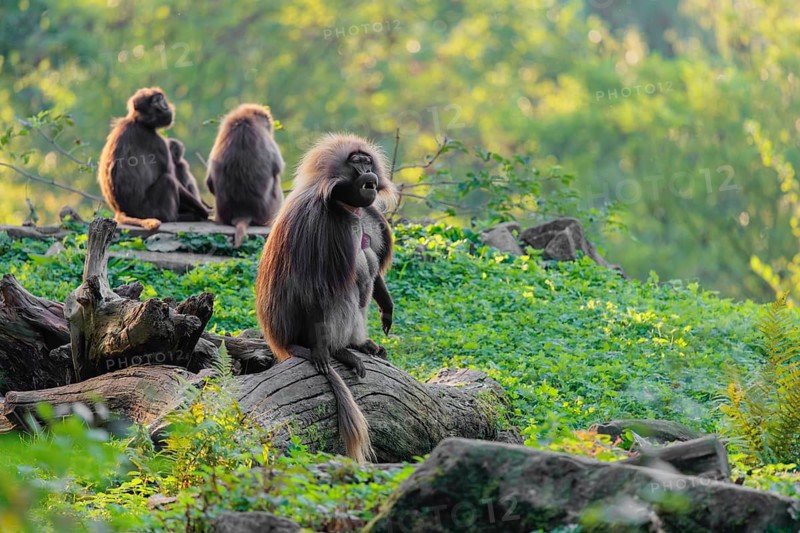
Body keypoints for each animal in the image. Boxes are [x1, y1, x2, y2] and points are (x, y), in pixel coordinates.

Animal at [98, 87, 210, 230]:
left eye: (161, 99)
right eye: (157, 101)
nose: (166, 106)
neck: (139, 122)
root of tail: (121, 211)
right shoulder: (159, 143)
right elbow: (173, 178)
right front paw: (204, 211)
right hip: (151, 209)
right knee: (168, 180)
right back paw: (181, 216)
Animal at [206, 104, 285, 247]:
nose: (269, 127)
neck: (244, 120)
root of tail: (243, 212)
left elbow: (209, 182)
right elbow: (277, 168)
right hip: (268, 211)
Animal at [256, 133, 397, 464]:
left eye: (367, 162)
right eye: (356, 165)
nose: (369, 175)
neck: (348, 208)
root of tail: (282, 342)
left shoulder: (370, 216)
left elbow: (375, 272)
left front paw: (387, 309)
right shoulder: (317, 223)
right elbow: (315, 287)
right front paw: (324, 351)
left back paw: (358, 344)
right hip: (301, 330)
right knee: (344, 282)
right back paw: (338, 350)